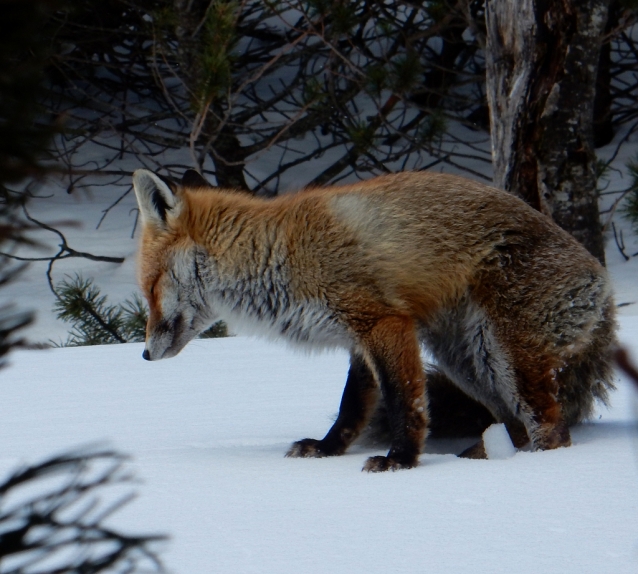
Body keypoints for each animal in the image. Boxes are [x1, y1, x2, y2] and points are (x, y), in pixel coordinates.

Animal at [132, 168, 616, 472]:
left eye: (151, 288)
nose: (144, 355)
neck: (278, 255)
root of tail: (605, 284)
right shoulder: (358, 337)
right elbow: (350, 408)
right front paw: (327, 450)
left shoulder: (385, 322)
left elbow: (405, 402)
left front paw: (400, 461)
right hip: (470, 364)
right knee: (511, 425)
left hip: (507, 358)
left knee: (551, 428)